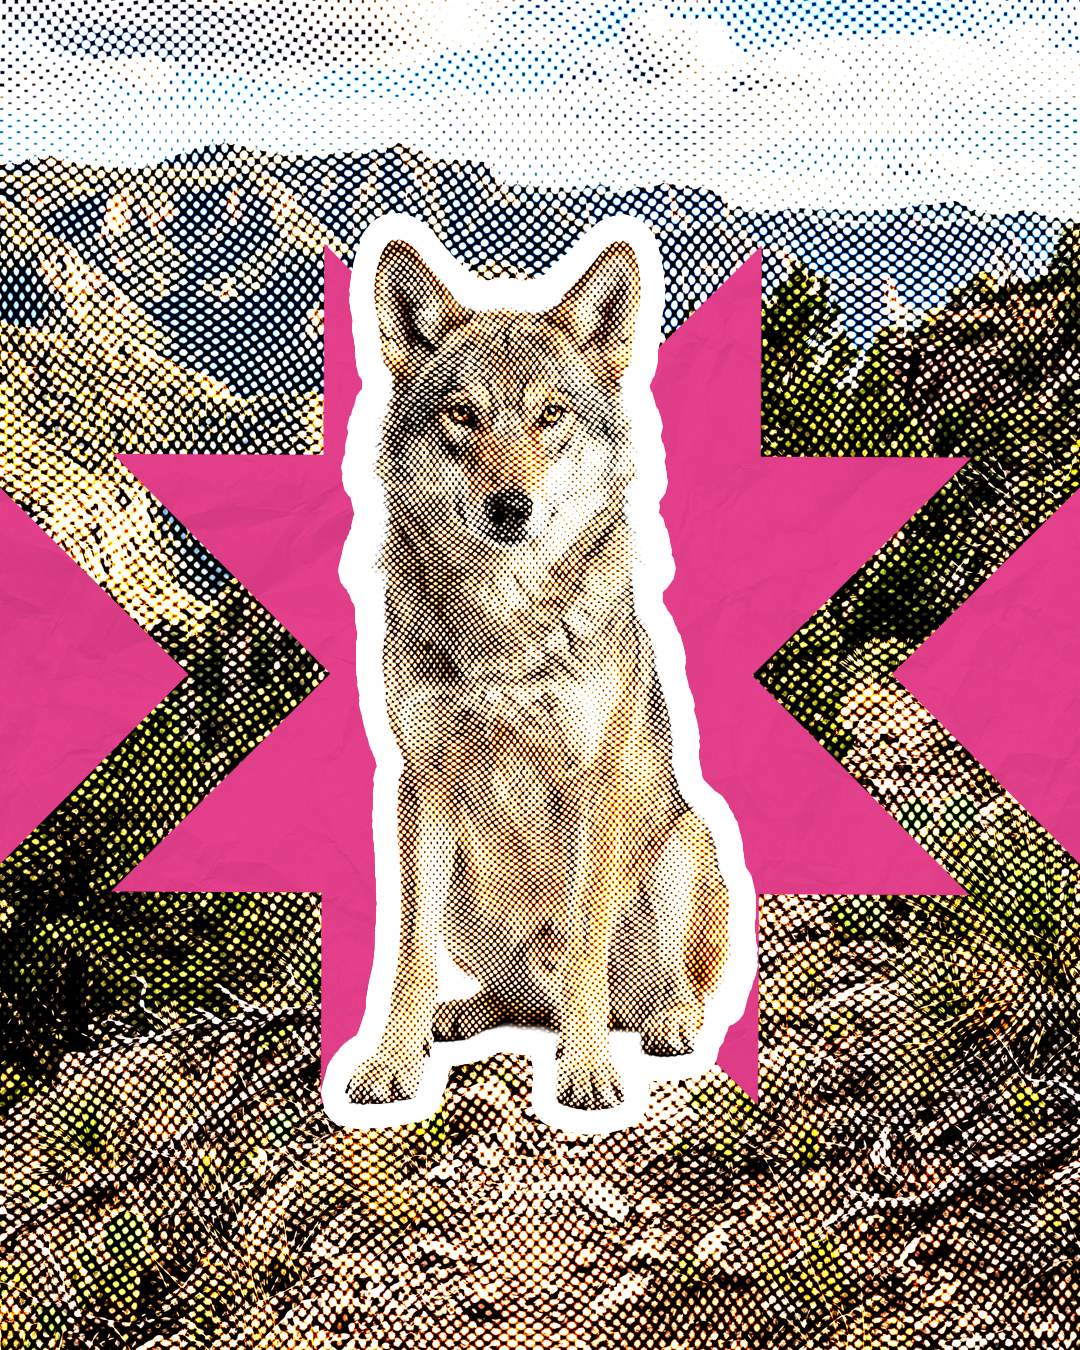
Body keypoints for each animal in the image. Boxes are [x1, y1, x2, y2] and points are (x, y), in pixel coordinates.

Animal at [347, 238, 729, 1110]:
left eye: (550, 415)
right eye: (463, 415)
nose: (511, 508)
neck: (503, 618)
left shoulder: (594, 783)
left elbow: (587, 945)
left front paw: (585, 1073)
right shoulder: (419, 784)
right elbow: (408, 955)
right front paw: (392, 1063)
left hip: (684, 842)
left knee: (663, 987)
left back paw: (663, 1023)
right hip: (466, 890)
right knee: (522, 998)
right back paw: (460, 1017)